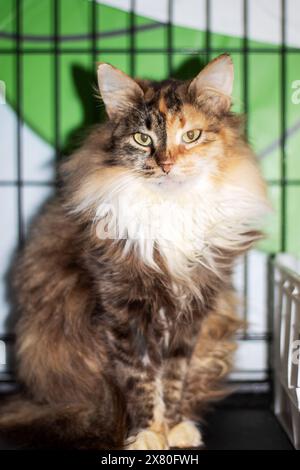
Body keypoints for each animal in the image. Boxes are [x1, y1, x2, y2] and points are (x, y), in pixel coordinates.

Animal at [0, 53, 270, 450]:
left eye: (191, 135)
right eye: (143, 139)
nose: (166, 164)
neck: (172, 209)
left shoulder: (192, 315)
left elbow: (173, 380)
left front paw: (173, 428)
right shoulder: (124, 310)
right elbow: (140, 379)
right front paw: (147, 434)